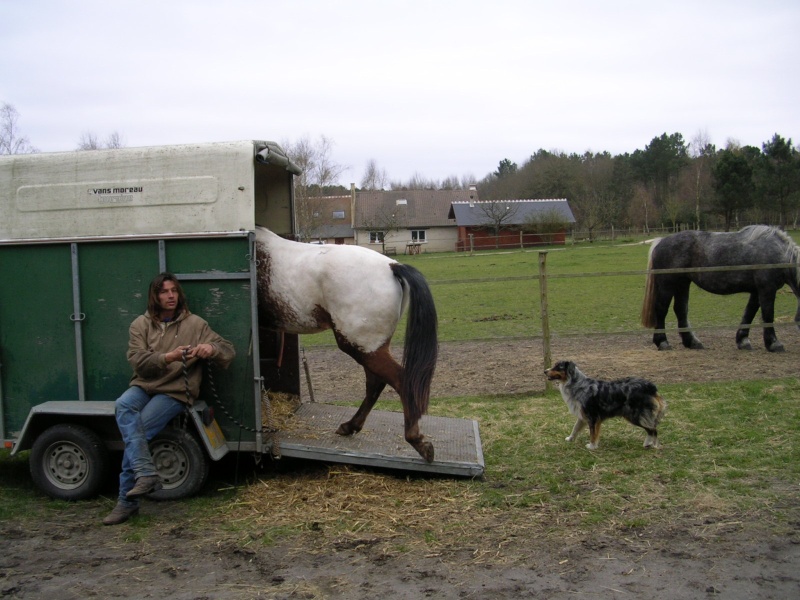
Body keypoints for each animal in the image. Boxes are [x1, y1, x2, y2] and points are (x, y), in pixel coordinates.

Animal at [255, 227, 438, 462]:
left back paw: (416, 440)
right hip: (370, 347)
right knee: (375, 383)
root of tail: (391, 266)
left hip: (359, 346)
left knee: (399, 380)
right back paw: (351, 426)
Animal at [640, 225, 800, 352]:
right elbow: (768, 315)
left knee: (680, 310)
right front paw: (774, 344)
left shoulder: (756, 291)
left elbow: (749, 313)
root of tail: (660, 241)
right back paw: (662, 342)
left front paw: (743, 341)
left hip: (683, 283)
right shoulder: (767, 289)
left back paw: (692, 342)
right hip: (668, 284)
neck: (780, 253)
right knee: (661, 310)